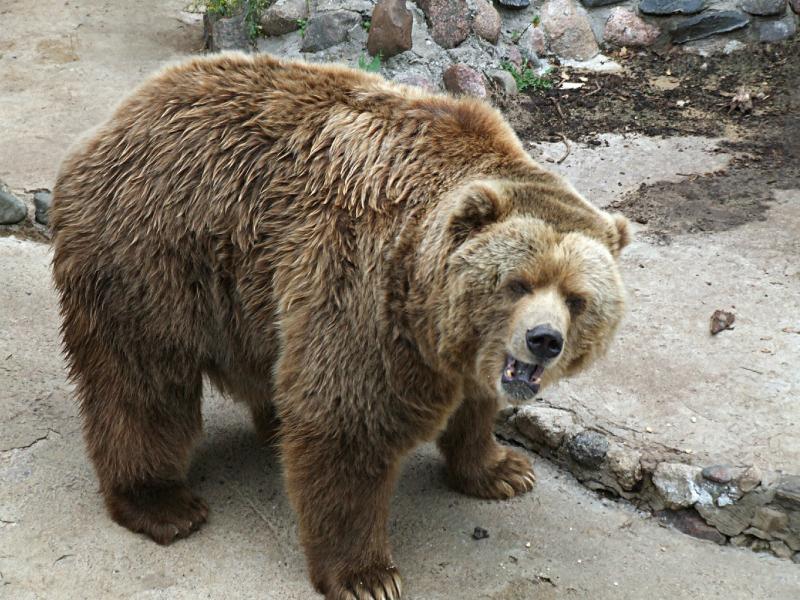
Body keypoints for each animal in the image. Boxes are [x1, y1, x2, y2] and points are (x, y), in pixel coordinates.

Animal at [51, 52, 632, 600]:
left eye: (577, 299)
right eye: (517, 283)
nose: (544, 340)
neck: (426, 300)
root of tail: (116, 118)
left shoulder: (455, 347)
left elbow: (474, 403)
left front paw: (503, 469)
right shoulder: (366, 289)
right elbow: (347, 422)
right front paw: (367, 575)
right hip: (153, 251)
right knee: (143, 381)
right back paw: (162, 502)